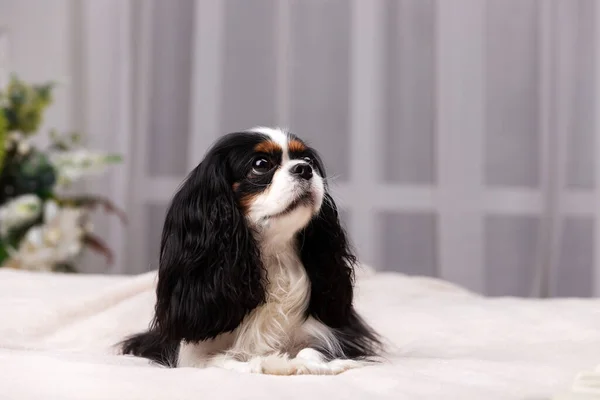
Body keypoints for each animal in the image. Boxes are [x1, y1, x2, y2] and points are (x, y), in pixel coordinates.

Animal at [120, 127, 380, 376]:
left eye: (308, 159)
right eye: (261, 164)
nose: (304, 169)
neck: (273, 258)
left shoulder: (339, 336)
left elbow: (313, 349)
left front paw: (311, 364)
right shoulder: (189, 353)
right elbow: (217, 360)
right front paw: (266, 363)